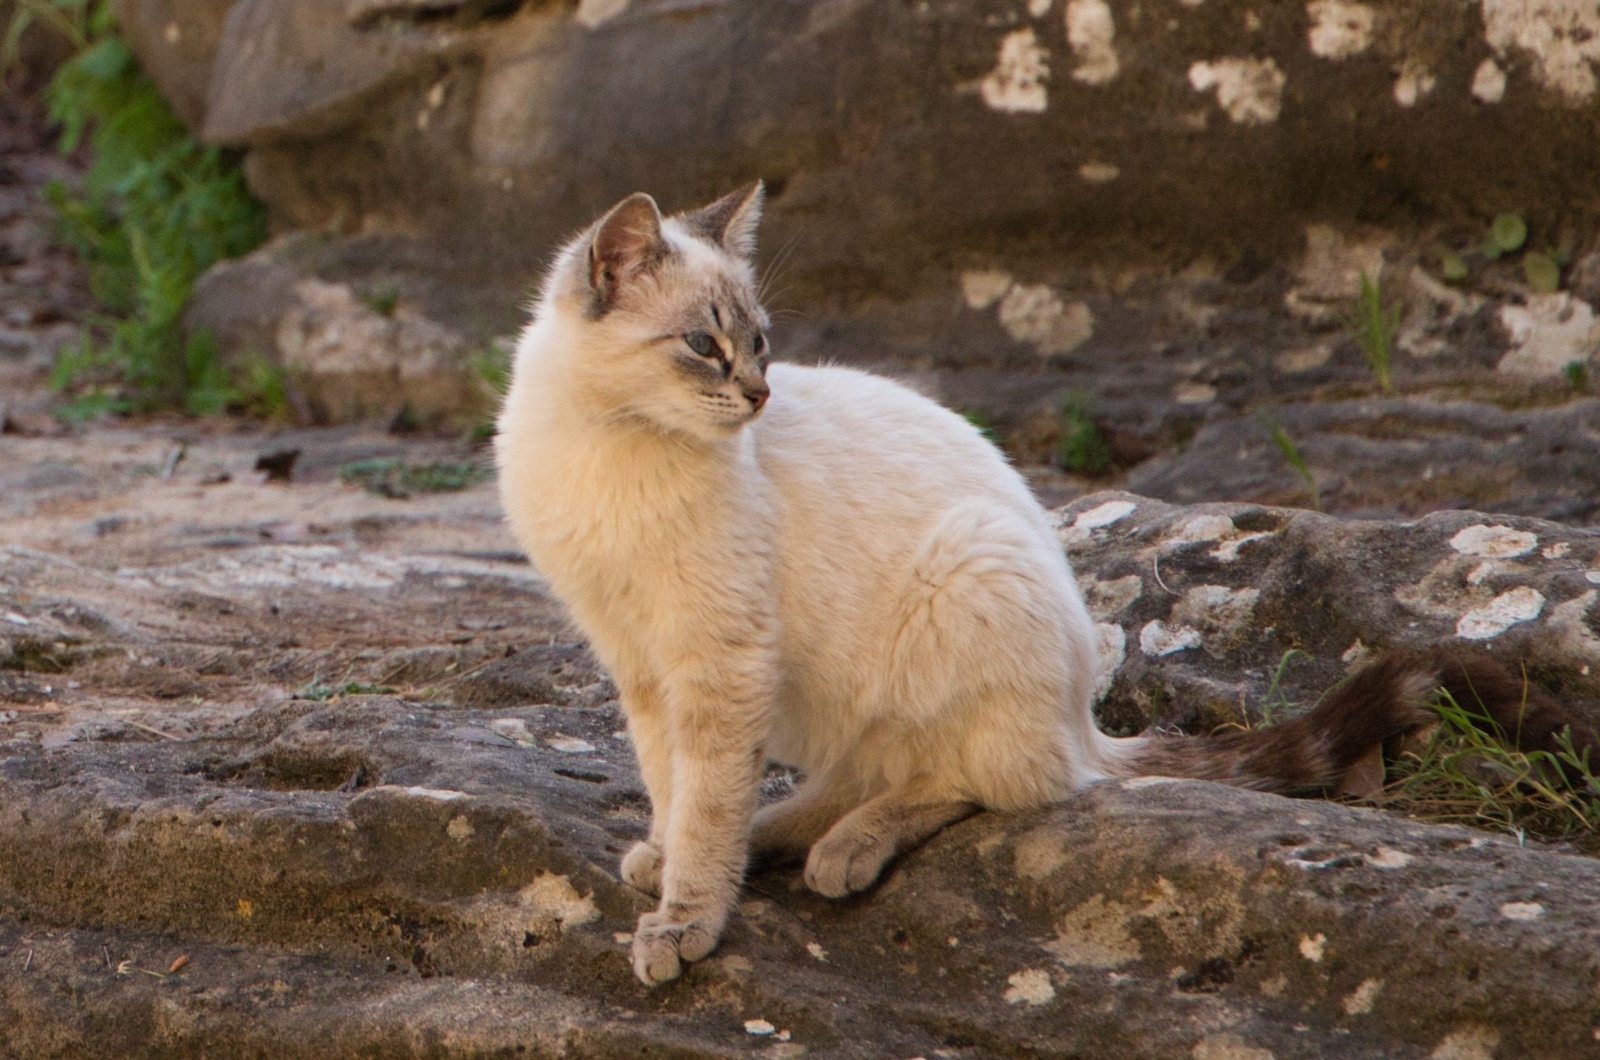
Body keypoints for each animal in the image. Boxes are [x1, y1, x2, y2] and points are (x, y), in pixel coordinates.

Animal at [496, 182, 1574, 986]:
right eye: (703, 346)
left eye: (759, 343)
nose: (758, 395)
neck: (612, 451)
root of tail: (1084, 716)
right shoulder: (641, 663)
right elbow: (672, 786)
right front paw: (664, 863)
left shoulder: (715, 663)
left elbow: (706, 802)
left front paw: (683, 919)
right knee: (876, 770)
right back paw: (782, 839)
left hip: (966, 577)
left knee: (995, 778)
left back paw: (844, 850)